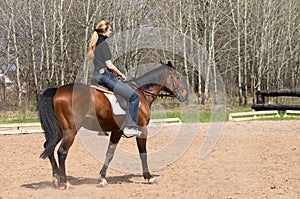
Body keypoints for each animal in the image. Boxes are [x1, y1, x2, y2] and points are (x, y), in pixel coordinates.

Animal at [37, 61, 188, 189]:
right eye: (178, 77)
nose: (185, 95)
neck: (142, 94)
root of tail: (57, 90)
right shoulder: (142, 129)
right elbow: (143, 153)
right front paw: (149, 177)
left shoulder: (117, 131)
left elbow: (109, 153)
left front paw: (102, 178)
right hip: (70, 130)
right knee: (62, 151)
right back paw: (65, 182)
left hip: (58, 130)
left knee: (48, 146)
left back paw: (56, 179)